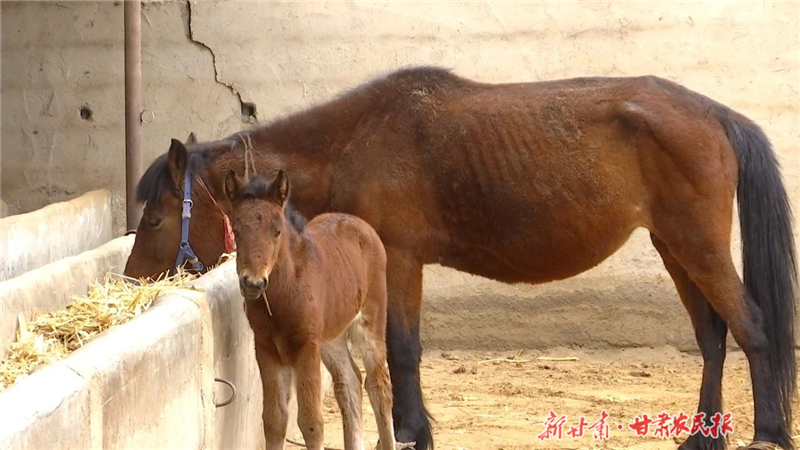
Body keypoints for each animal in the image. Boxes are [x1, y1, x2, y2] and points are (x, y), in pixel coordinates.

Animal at [224, 169, 410, 450]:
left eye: (277, 231)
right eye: (236, 229)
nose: (253, 283)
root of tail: (359, 224)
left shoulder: (306, 347)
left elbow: (311, 422)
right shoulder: (266, 348)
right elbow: (274, 420)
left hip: (370, 321)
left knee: (379, 385)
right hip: (331, 338)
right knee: (350, 381)